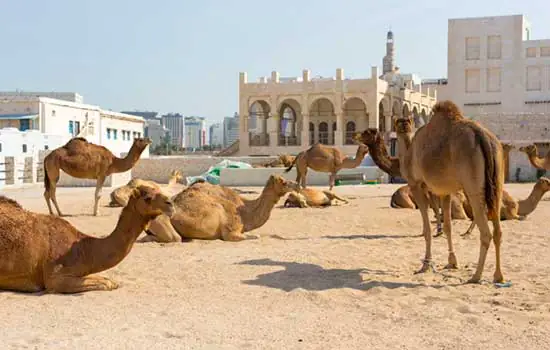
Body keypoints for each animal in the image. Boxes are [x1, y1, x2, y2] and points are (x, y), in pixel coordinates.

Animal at [0, 185, 175, 294]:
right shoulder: (54, 278)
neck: (83, 249)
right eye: (147, 197)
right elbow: (106, 284)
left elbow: (109, 281)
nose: (170, 204)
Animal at [142, 174, 302, 242]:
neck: (244, 212)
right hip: (162, 220)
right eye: (283, 182)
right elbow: (253, 236)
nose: (297, 184)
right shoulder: (231, 232)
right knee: (173, 238)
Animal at [394, 102, 506, 284]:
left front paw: (425, 265)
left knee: (486, 232)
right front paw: (452, 262)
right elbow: (448, 226)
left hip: (473, 185)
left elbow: (427, 228)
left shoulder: (417, 185)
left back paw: (476, 276)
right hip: (497, 183)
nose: (403, 125)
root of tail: (483, 136)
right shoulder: (445, 192)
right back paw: (498, 276)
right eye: (399, 122)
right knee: (498, 231)